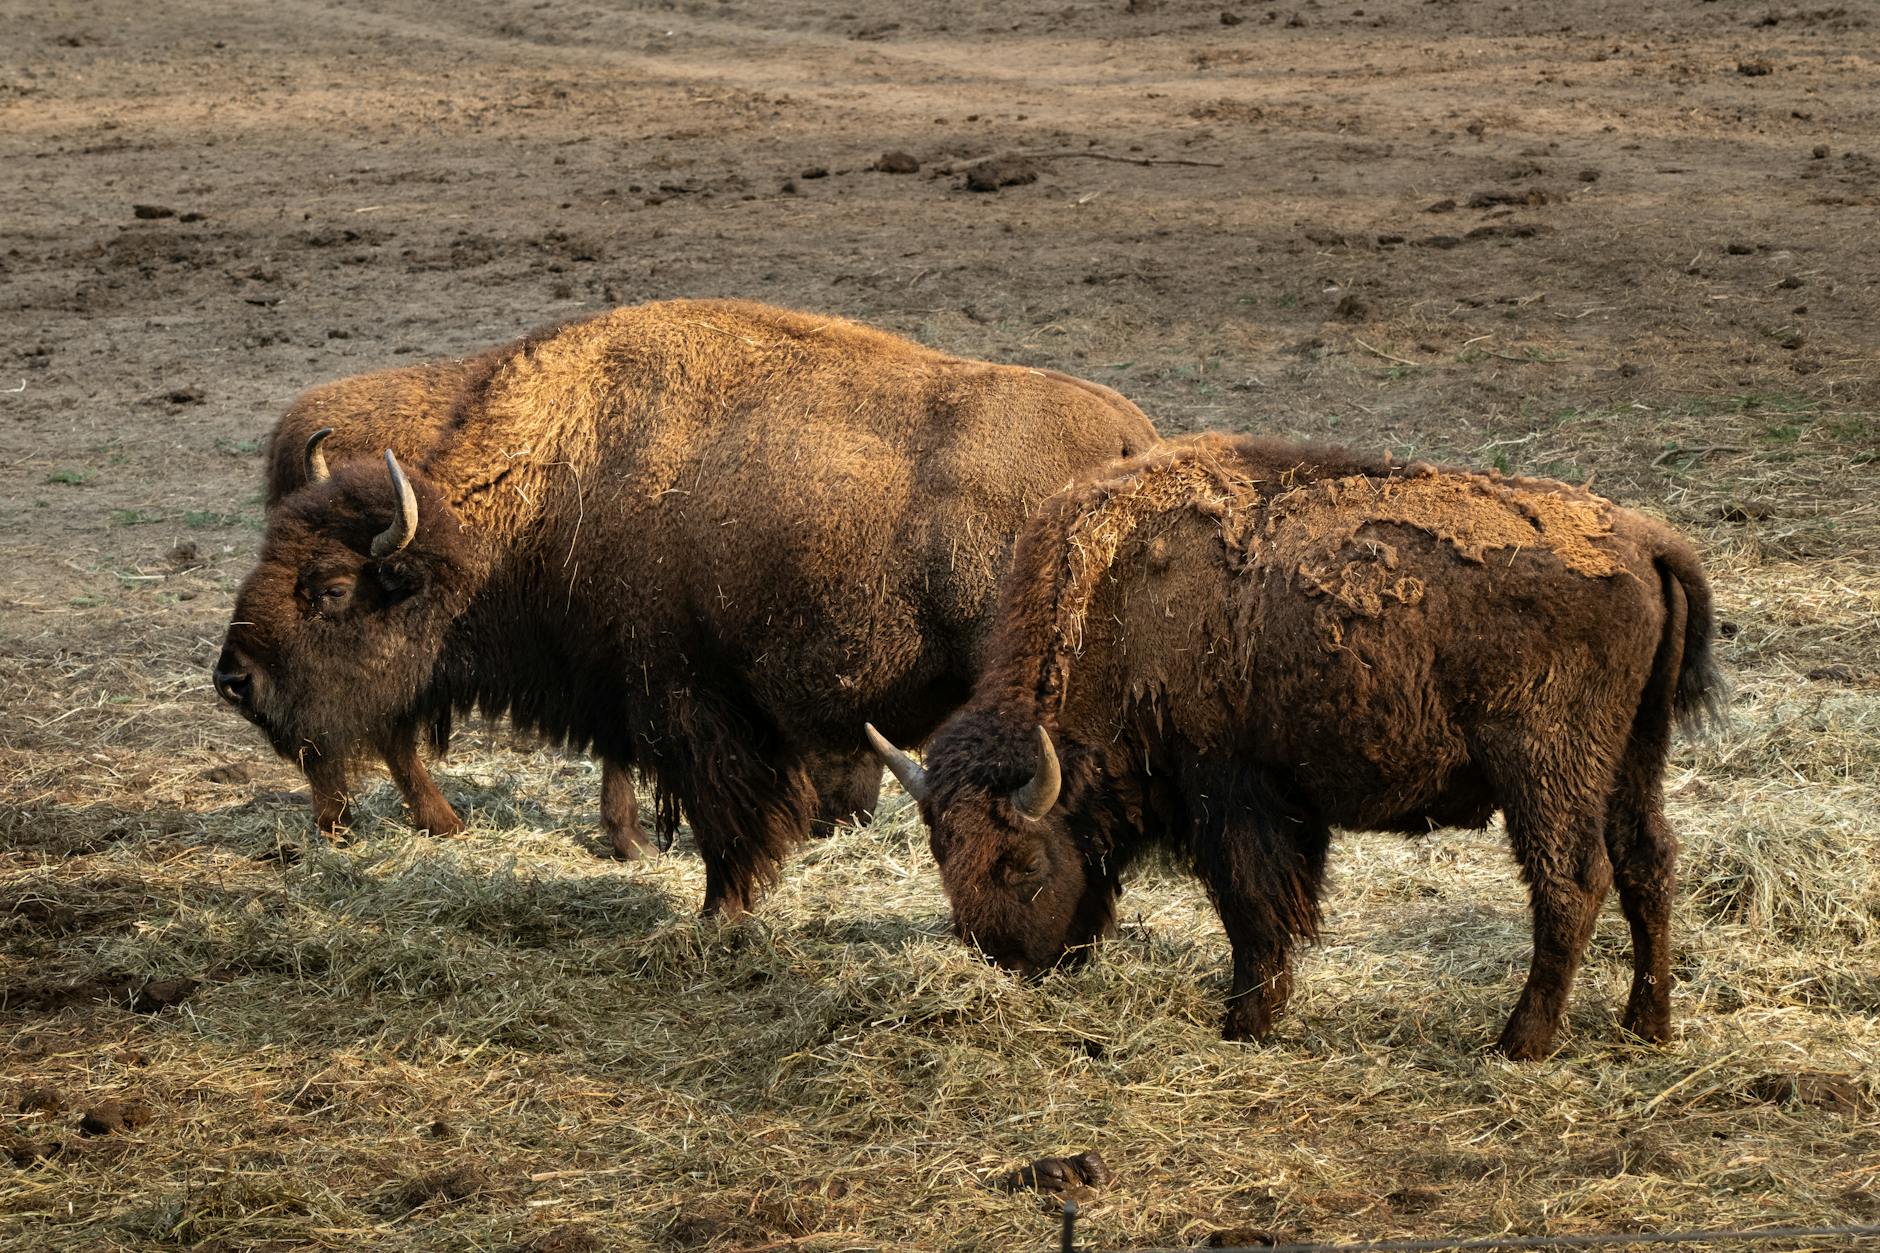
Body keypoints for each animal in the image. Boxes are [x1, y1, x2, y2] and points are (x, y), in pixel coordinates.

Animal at [215, 299, 1157, 914]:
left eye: (330, 588)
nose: (235, 679)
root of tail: (1130, 444)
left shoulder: (688, 700)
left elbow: (723, 821)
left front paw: (715, 915)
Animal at [869, 434, 1722, 1058]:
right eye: (943, 856)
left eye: (1022, 863)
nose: (1006, 963)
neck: (1118, 601)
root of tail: (1647, 543)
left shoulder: (1232, 791)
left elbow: (1252, 906)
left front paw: (1243, 1021)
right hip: (1633, 758)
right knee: (1648, 862)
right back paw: (1647, 1025)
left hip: (1545, 767)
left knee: (1572, 880)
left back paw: (1520, 1042)